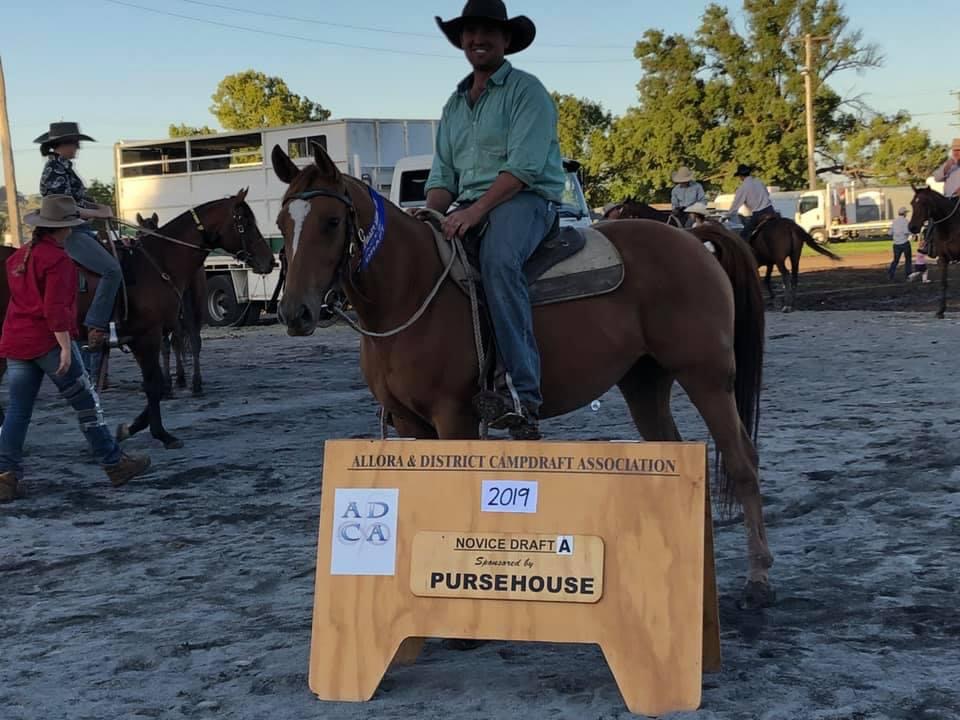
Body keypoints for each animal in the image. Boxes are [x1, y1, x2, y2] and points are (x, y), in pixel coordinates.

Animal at [270, 143, 775, 609]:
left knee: (742, 462)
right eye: (282, 224)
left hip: (706, 377)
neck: (411, 291)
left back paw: (758, 578)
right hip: (644, 383)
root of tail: (694, 240)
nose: (295, 313)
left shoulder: (454, 417)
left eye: (331, 222)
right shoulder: (411, 424)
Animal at [909, 187, 960, 318]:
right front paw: (940, 311)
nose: (912, 227)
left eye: (924, 203)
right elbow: (943, 283)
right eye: (912, 203)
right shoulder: (942, 259)